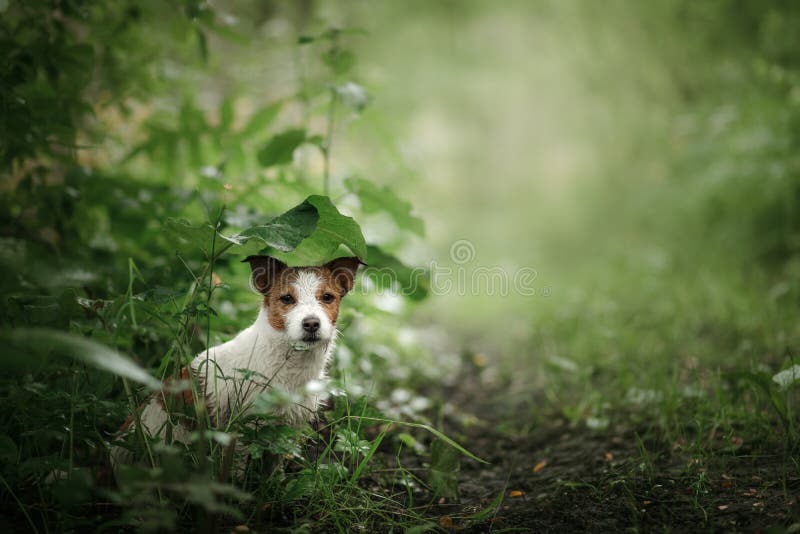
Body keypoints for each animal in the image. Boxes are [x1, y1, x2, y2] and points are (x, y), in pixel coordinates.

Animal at [109, 258, 362, 472]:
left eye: (327, 297)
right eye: (287, 299)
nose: (311, 323)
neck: (286, 362)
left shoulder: (287, 430)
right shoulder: (242, 433)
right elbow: (236, 473)